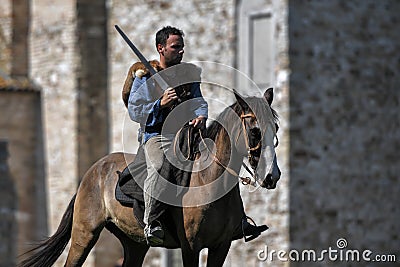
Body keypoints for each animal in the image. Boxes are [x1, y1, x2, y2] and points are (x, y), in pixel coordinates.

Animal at [18, 88, 282, 267]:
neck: (209, 181)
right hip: (84, 235)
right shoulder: (191, 247)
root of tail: (92, 172)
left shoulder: (221, 246)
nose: (272, 176)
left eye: (276, 129)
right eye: (255, 131)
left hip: (134, 244)